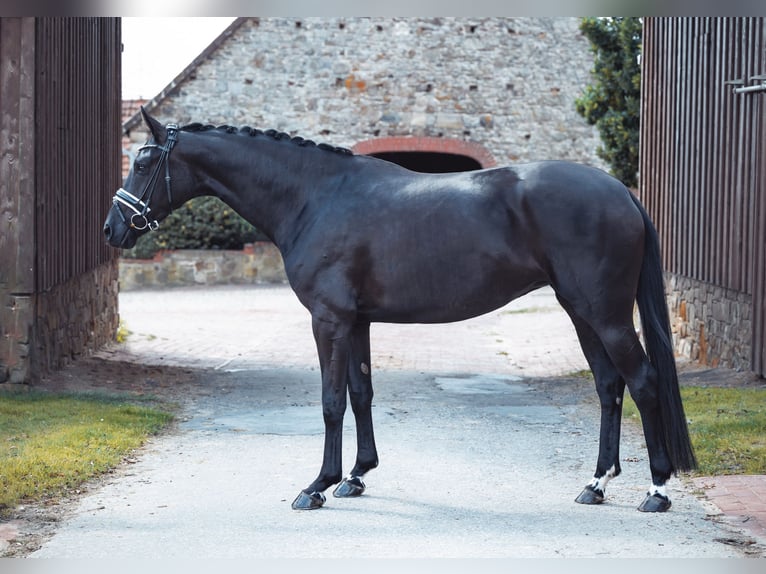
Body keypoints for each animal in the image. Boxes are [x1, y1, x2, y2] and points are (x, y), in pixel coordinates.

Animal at [104, 108, 696, 512]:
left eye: (144, 160)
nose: (113, 228)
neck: (316, 197)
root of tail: (620, 191)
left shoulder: (329, 320)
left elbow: (330, 402)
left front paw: (316, 486)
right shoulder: (357, 321)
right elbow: (361, 394)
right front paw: (356, 476)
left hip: (607, 314)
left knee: (642, 382)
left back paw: (657, 489)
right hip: (580, 311)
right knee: (608, 386)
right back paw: (595, 484)